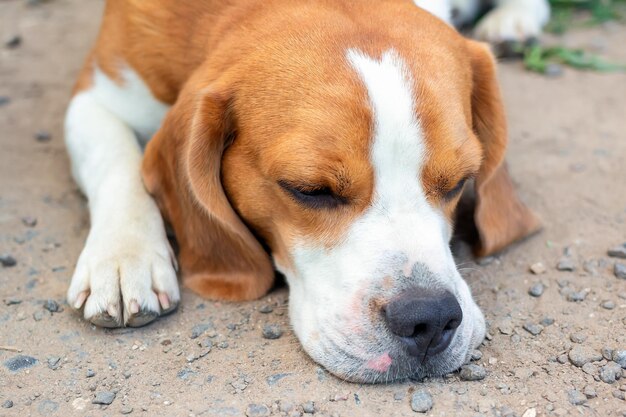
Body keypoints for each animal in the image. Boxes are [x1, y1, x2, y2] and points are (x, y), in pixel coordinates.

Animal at [66, 0, 540, 382]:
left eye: (459, 181)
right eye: (311, 190)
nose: (430, 319)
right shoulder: (94, 94)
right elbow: (116, 159)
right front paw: (124, 257)